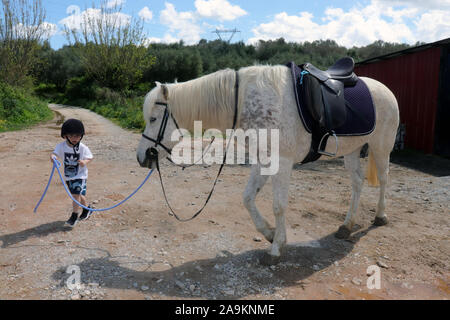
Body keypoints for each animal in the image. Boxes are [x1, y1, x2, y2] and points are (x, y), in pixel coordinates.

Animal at [135, 65, 400, 262]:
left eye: (153, 118)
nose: (142, 157)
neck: (244, 103)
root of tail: (384, 88)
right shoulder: (263, 160)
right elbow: (248, 198)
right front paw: (270, 234)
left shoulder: (281, 162)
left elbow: (278, 206)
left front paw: (276, 249)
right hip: (352, 150)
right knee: (357, 183)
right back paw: (347, 225)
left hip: (381, 146)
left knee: (384, 179)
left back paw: (381, 216)